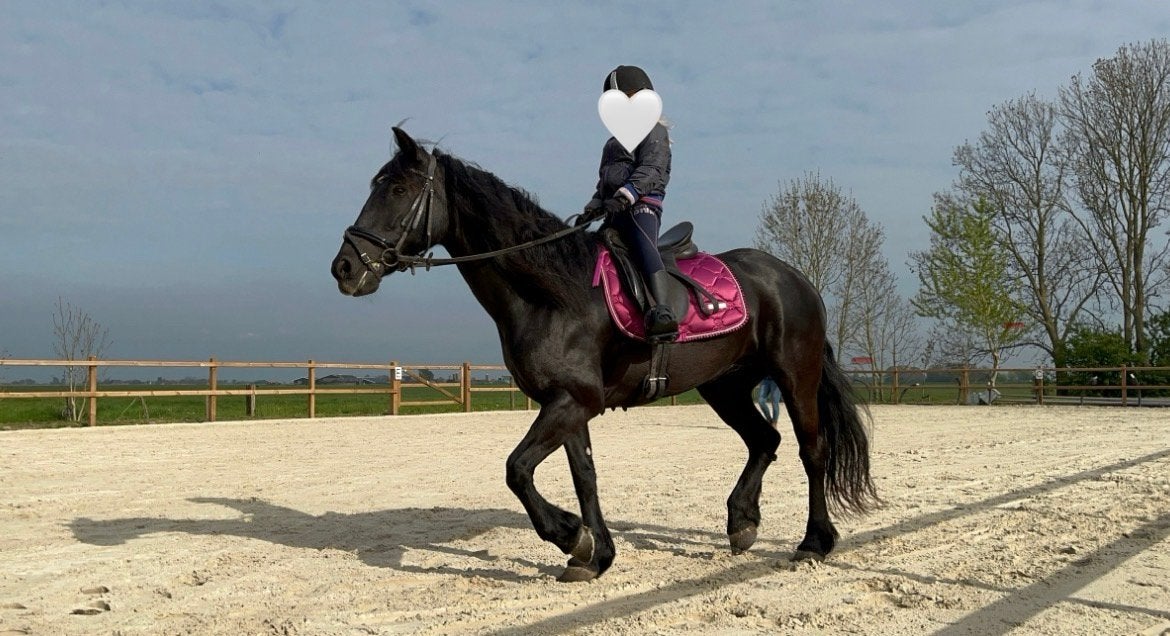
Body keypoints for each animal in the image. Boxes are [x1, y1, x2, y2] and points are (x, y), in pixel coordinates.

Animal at [331, 127, 878, 582]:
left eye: (398, 190)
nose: (345, 267)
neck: (553, 294)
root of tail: (794, 278)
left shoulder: (574, 401)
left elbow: (516, 469)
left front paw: (571, 536)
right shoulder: (567, 402)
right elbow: (583, 477)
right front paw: (594, 554)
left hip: (795, 377)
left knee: (812, 451)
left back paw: (814, 542)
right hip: (724, 386)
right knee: (765, 439)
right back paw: (742, 522)